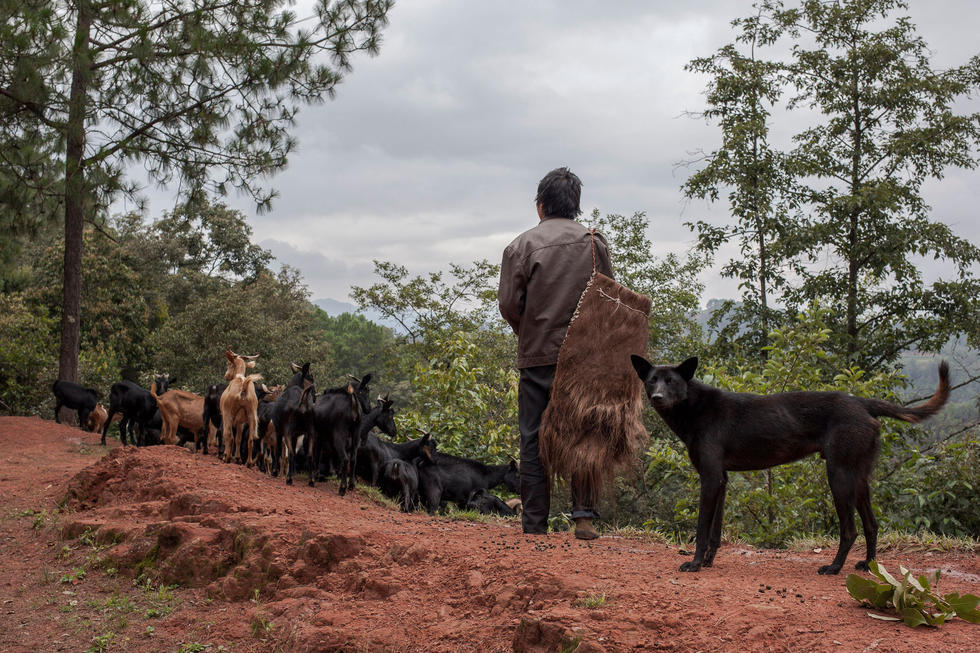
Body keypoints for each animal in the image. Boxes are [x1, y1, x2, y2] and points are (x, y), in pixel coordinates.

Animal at [632, 354, 944, 572]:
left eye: (671, 382)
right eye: (651, 380)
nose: (656, 398)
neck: (696, 407)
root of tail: (862, 403)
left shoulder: (709, 479)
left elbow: (700, 529)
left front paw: (695, 564)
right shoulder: (721, 479)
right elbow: (715, 532)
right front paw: (708, 562)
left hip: (839, 477)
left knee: (850, 530)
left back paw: (834, 567)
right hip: (859, 479)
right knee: (872, 525)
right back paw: (868, 565)